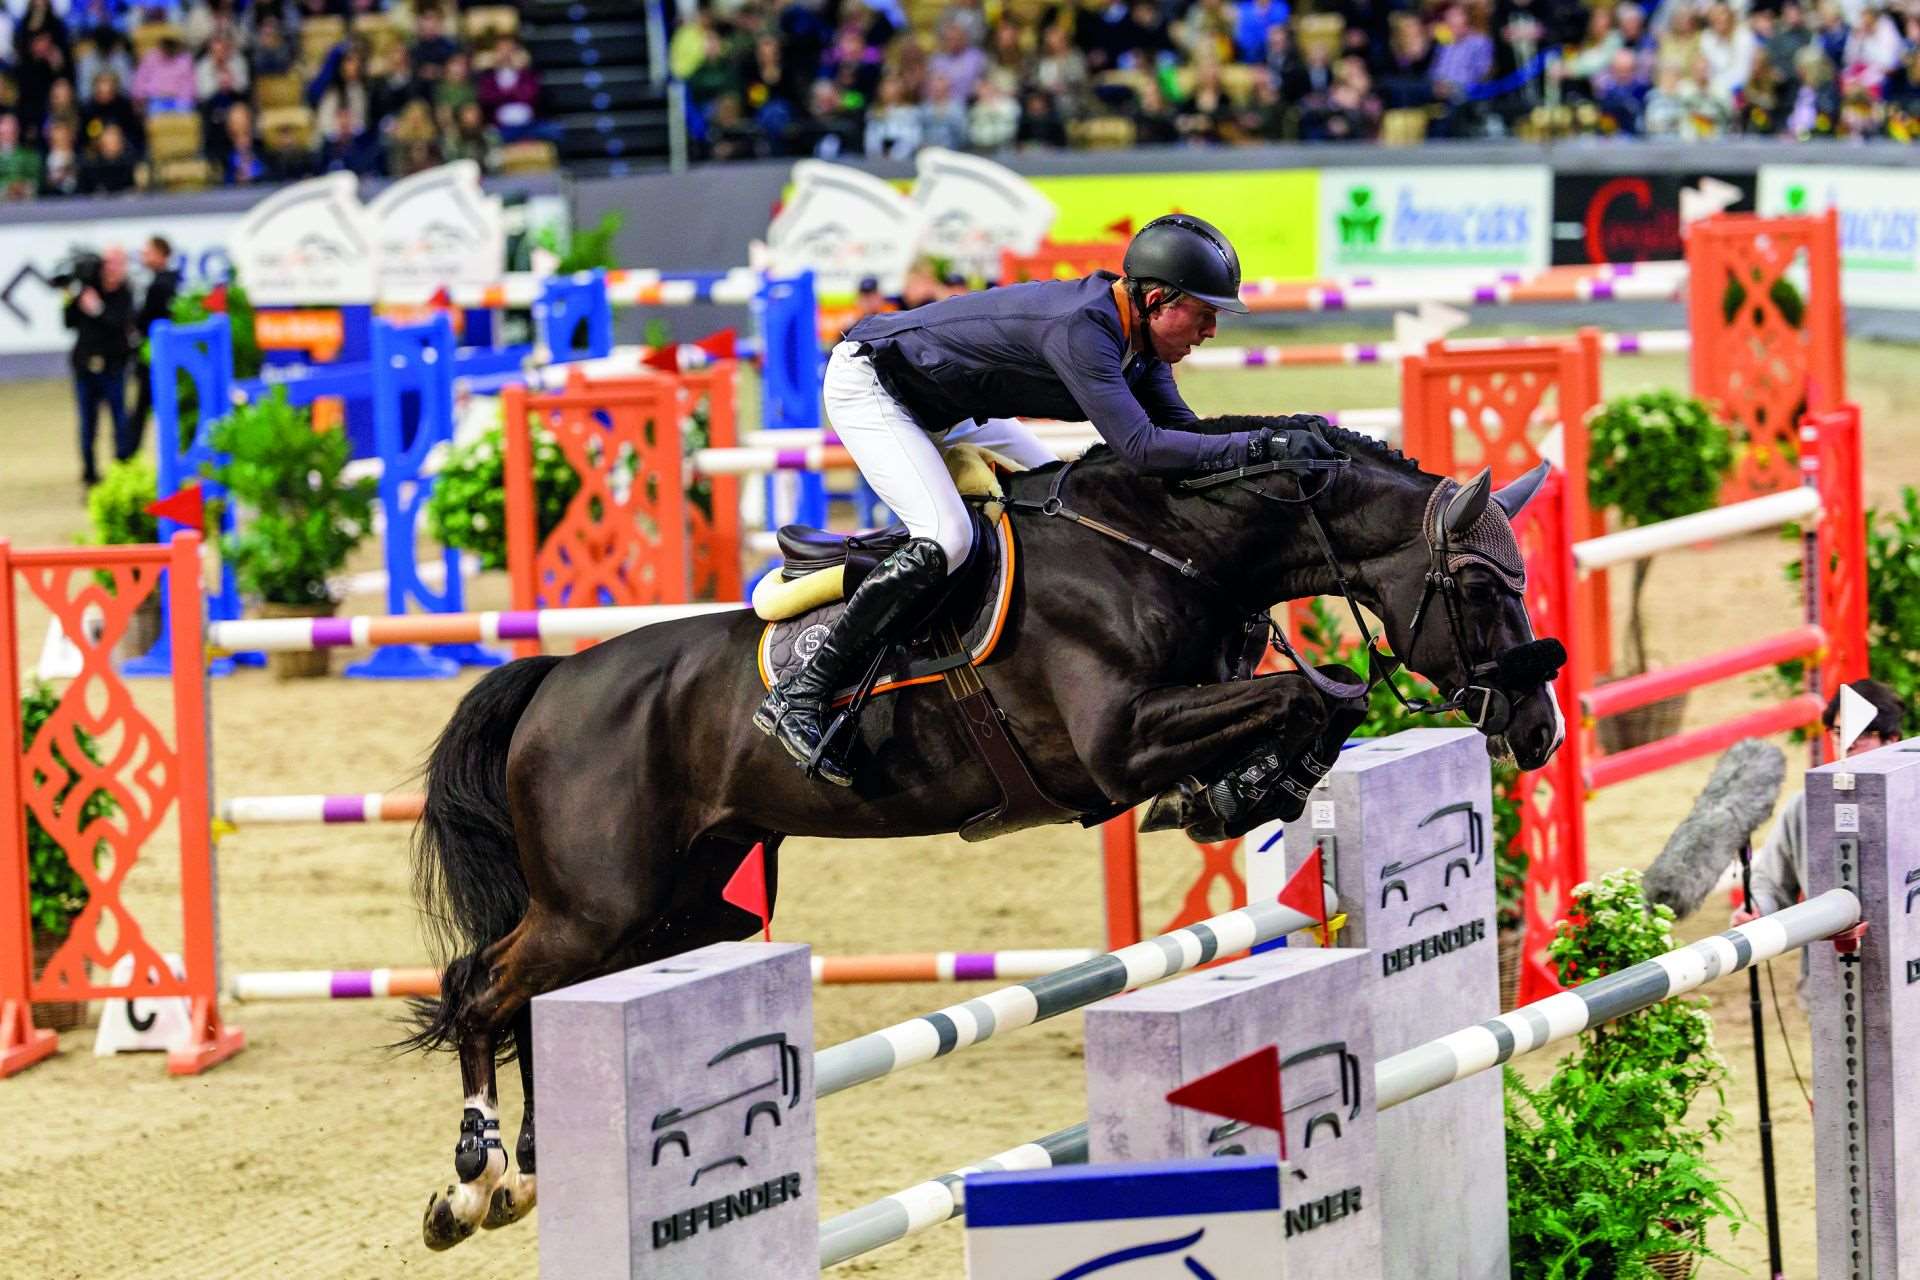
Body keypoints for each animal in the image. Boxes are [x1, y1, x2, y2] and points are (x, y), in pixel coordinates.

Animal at [403, 420, 1566, 1249]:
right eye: (1477, 584)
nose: (1539, 728)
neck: (1171, 551)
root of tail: (558, 680)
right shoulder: (1118, 741)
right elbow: (1313, 694)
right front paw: (1234, 788)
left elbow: (1316, 702)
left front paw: (1236, 793)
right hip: (597, 904)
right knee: (479, 986)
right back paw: (473, 1180)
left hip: (677, 913)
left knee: (539, 1000)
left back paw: (528, 1173)